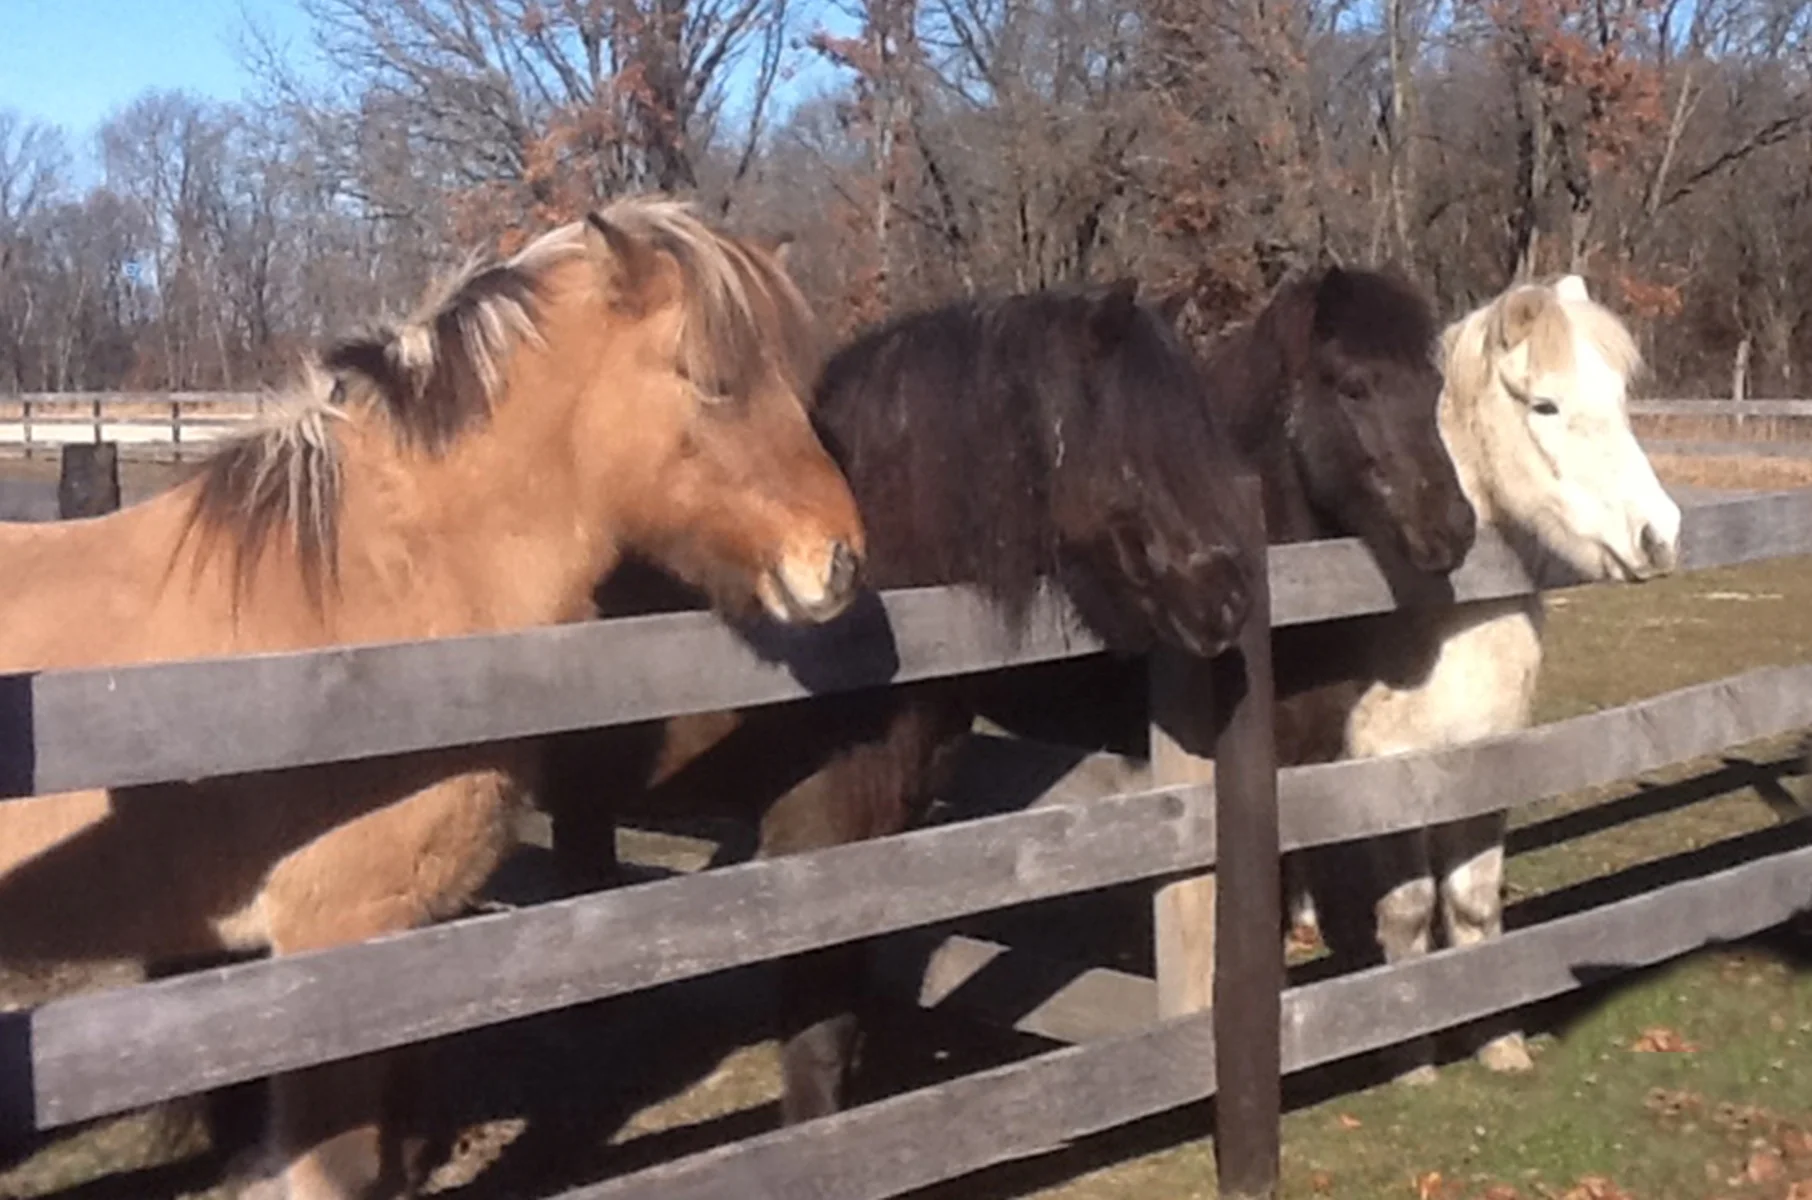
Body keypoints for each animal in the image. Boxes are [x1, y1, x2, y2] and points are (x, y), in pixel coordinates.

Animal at [1287, 274, 1680, 1079]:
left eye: (1620, 395)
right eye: (1545, 405)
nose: (1660, 537)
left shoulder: (1488, 766)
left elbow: (1473, 905)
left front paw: (1498, 1042)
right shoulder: (1386, 777)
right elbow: (1408, 912)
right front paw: (1412, 1059)